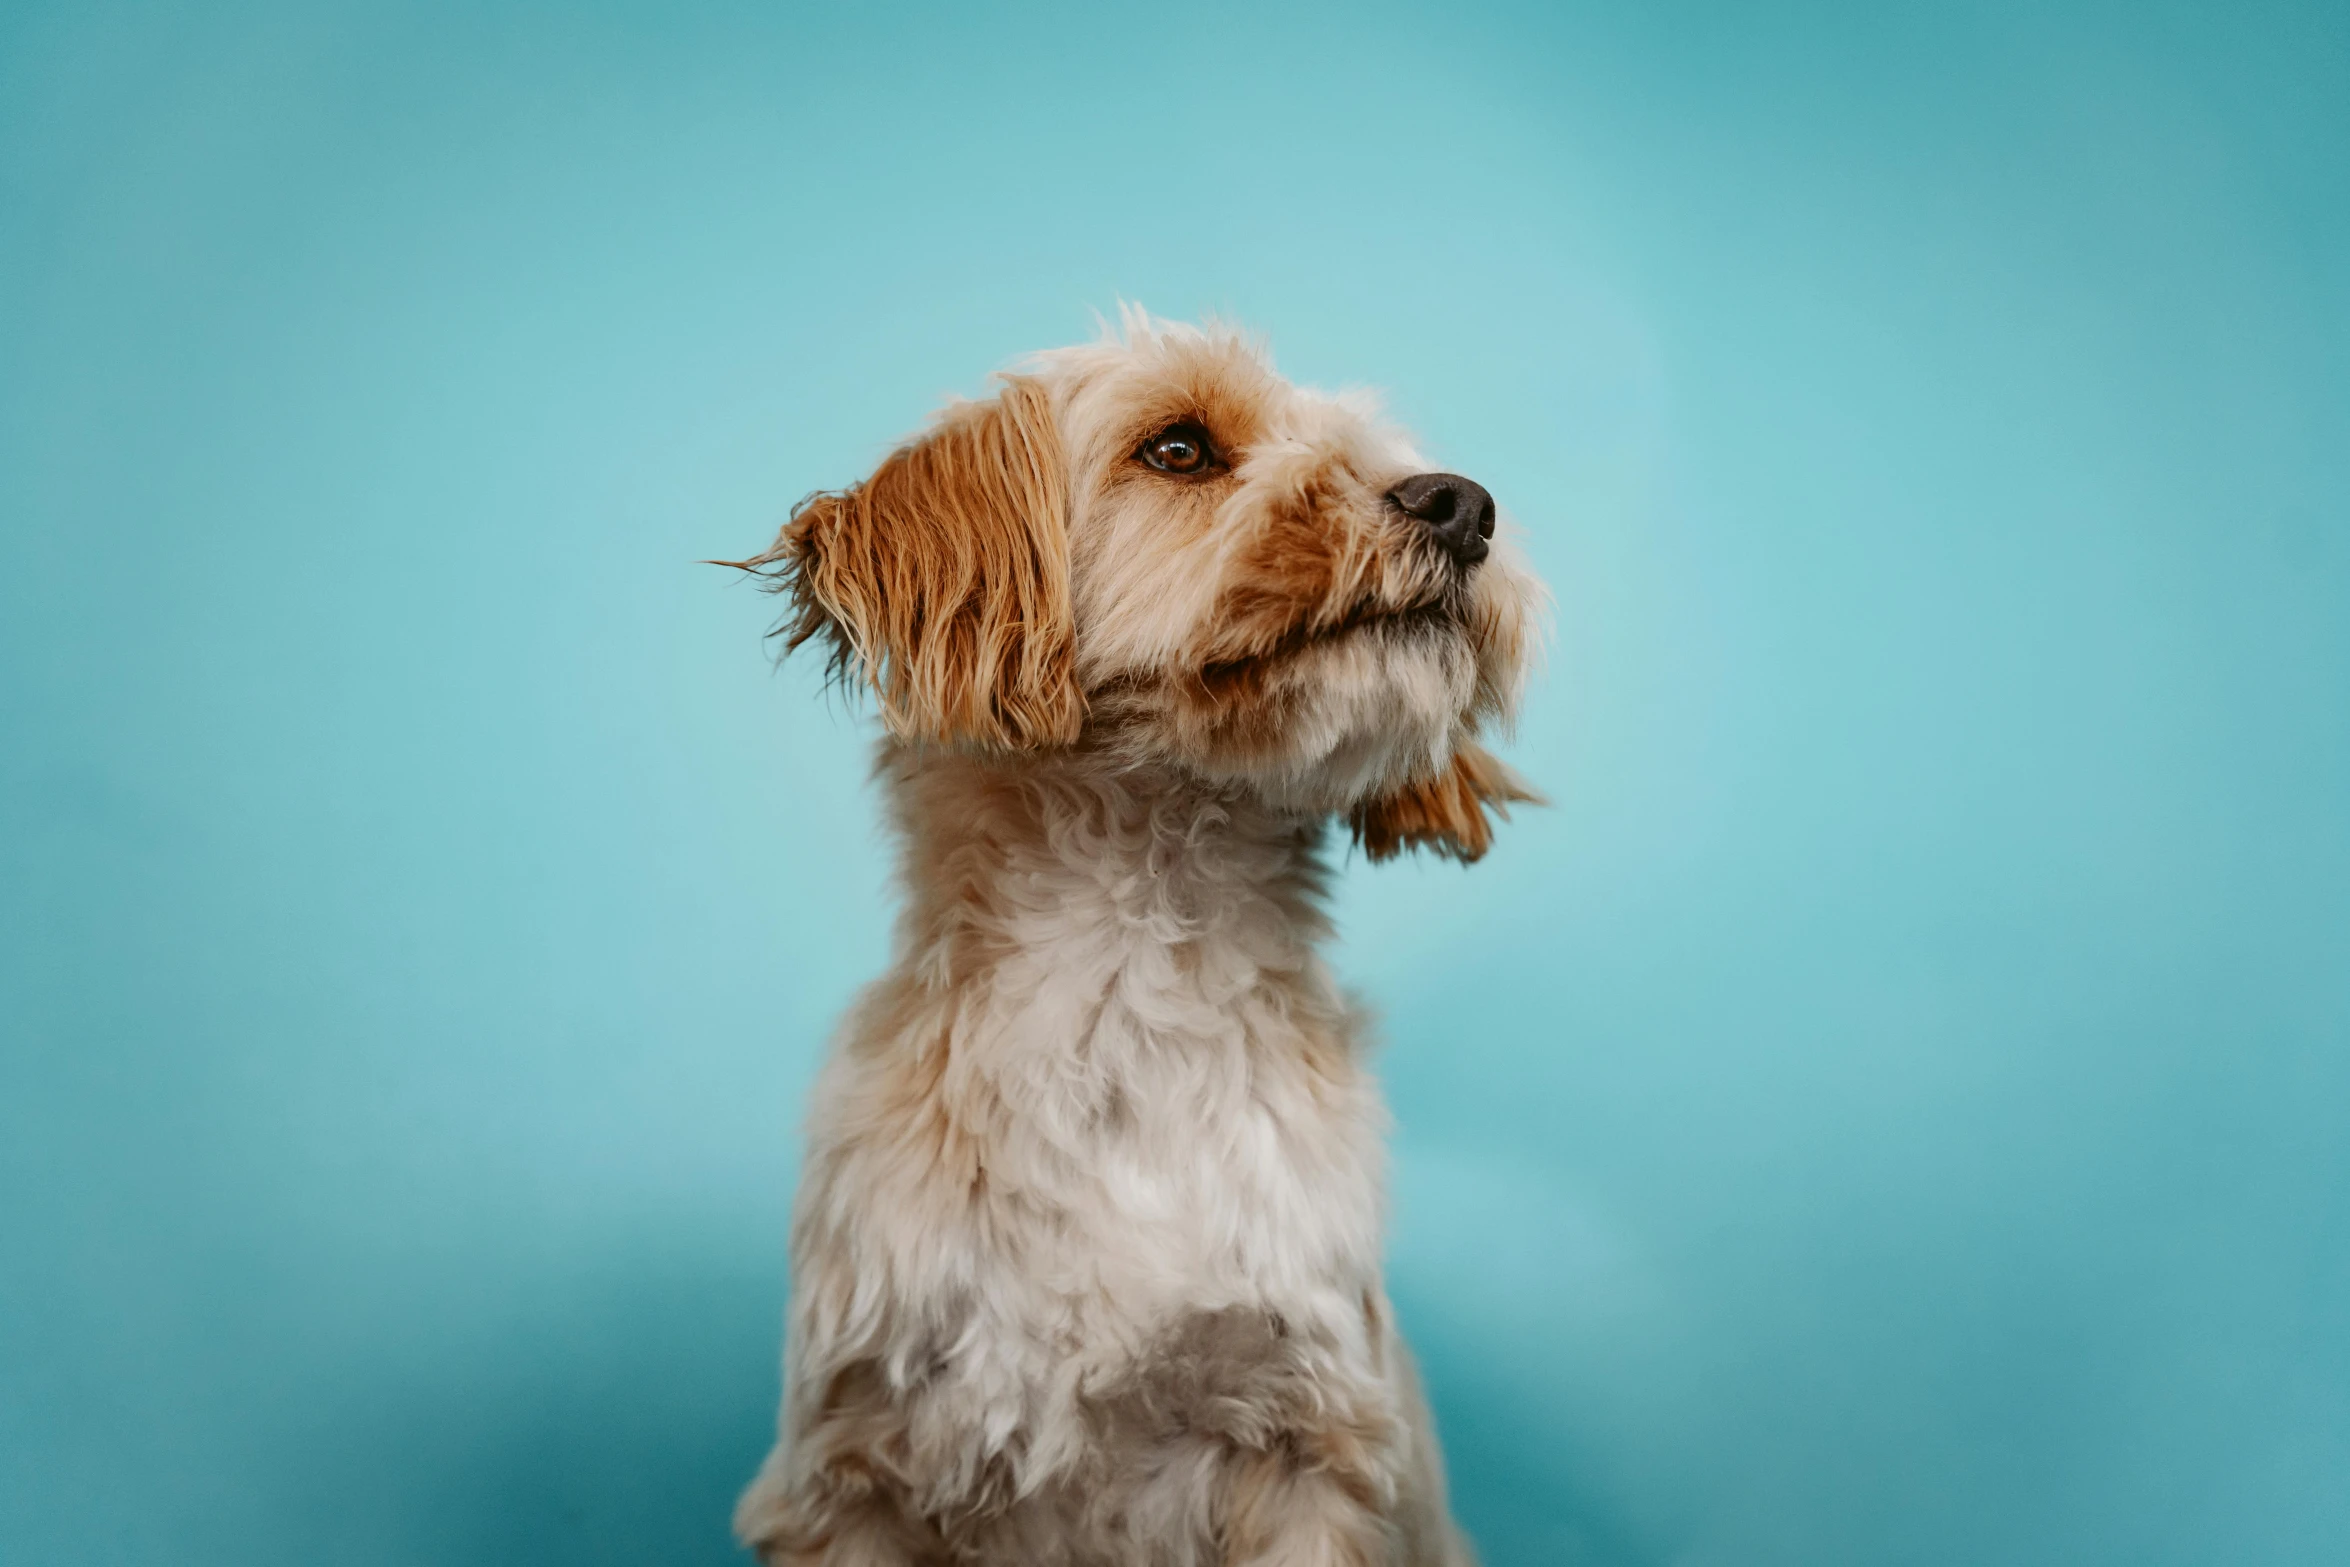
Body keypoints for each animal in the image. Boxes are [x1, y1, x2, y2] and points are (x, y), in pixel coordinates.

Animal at [723, 312, 1550, 1559]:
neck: (1130, 980)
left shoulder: (1309, 1441)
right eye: (1177, 448)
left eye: (1378, 451)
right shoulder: (853, 1472)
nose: (1461, 503)